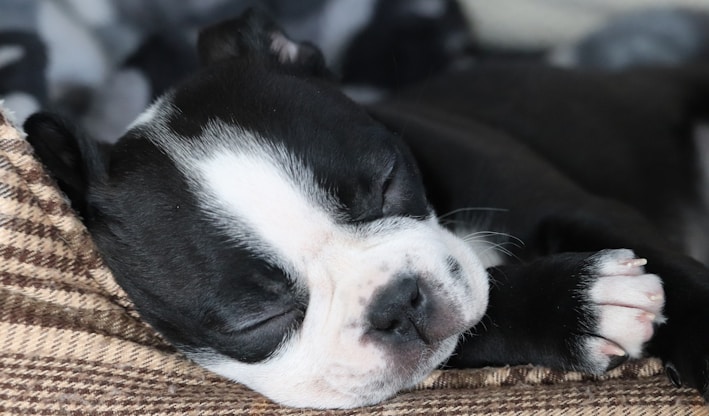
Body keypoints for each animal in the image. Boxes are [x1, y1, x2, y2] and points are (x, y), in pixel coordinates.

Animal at [22, 9, 708, 410]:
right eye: (255, 321)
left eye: (386, 183)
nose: (398, 303)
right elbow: (475, 322)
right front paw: (574, 301)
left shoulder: (577, 205)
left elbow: (679, 277)